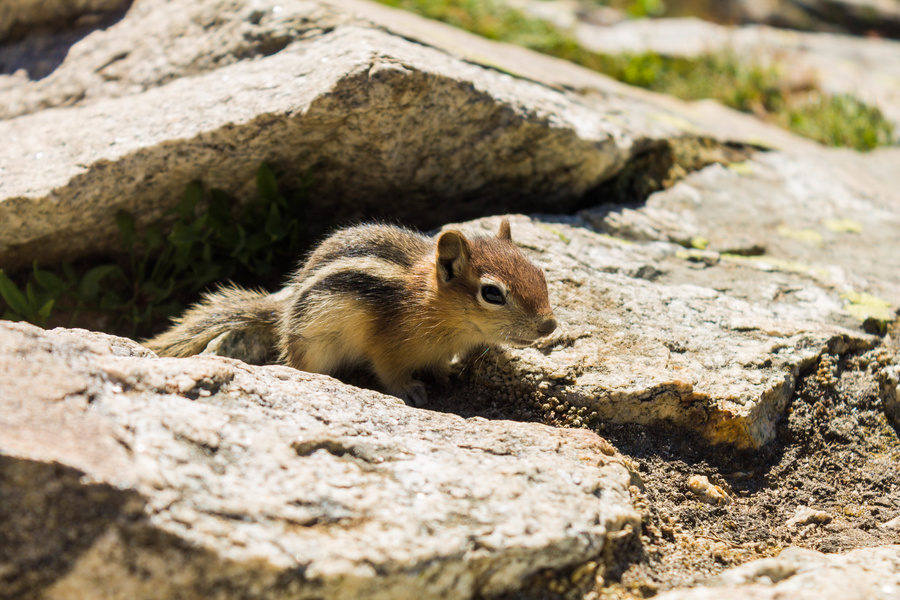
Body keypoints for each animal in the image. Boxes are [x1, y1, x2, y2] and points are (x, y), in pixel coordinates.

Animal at [144, 218, 557, 406]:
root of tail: (284, 312)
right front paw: (412, 391)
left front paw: (448, 376)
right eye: (492, 293)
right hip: (314, 349)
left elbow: (441, 365)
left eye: (539, 272)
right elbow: (391, 373)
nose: (549, 326)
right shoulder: (387, 346)